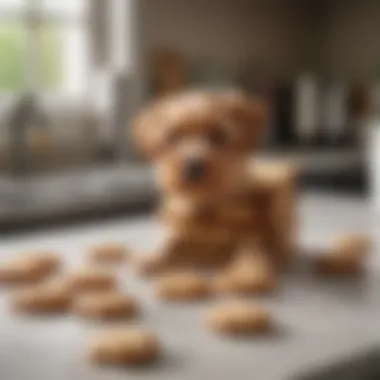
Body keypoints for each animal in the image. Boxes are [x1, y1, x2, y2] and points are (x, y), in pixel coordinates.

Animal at [133, 92, 296, 276]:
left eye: (218, 135)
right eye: (173, 137)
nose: (193, 166)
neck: (208, 205)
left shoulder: (250, 234)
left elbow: (249, 255)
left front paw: (246, 272)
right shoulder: (183, 229)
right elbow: (171, 244)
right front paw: (153, 258)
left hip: (279, 184)